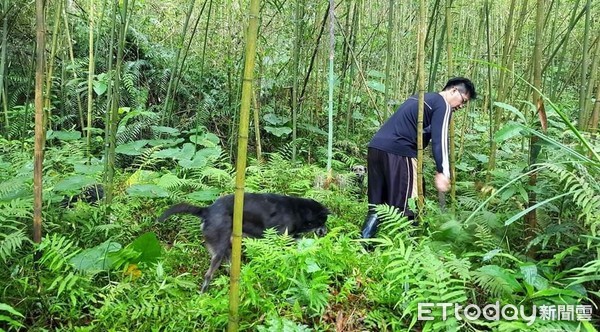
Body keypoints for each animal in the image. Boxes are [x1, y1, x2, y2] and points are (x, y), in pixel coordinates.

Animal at [157, 193, 330, 292]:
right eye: (324, 220)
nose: (326, 232)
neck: (298, 211)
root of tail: (207, 210)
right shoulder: (279, 237)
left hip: (227, 250)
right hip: (219, 251)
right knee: (208, 276)